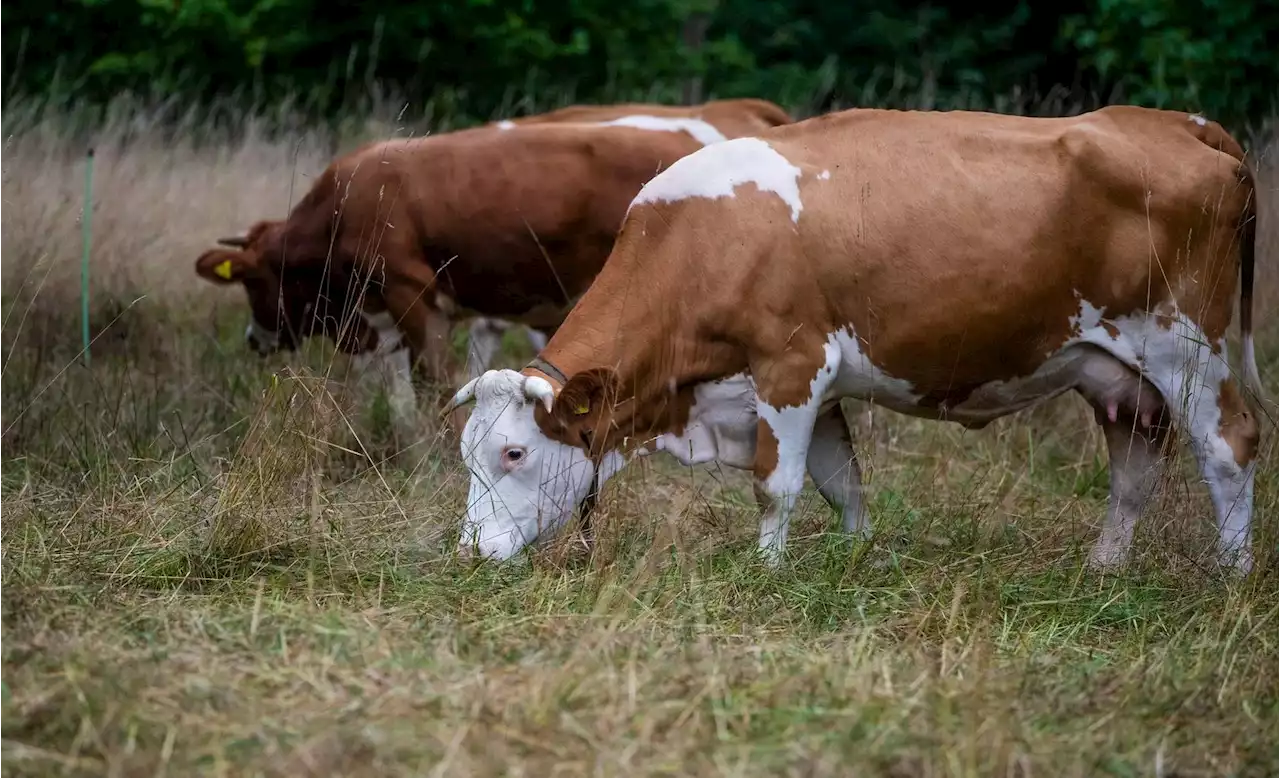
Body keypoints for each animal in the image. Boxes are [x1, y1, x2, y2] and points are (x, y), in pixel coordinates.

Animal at [192, 98, 788, 437]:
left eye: (251, 282)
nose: (253, 339)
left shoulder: (413, 292)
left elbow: (433, 379)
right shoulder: (380, 314)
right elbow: (399, 386)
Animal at [445, 104, 1264, 570]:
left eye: (512, 452)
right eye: (466, 455)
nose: (471, 552)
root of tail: (1178, 123)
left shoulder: (791, 366)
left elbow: (776, 486)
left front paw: (767, 575)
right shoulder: (814, 390)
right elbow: (842, 482)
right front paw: (856, 557)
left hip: (1187, 346)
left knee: (1230, 445)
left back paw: (1230, 574)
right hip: (1121, 378)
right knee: (1133, 475)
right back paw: (1104, 570)